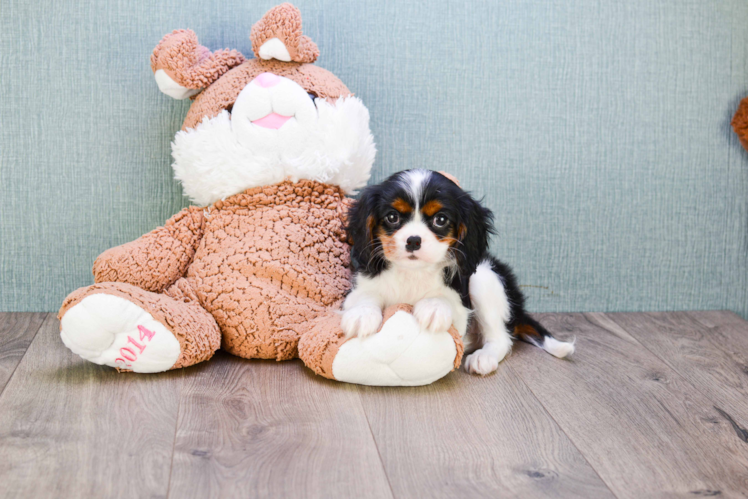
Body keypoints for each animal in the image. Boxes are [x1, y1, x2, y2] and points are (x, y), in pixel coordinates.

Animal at [342, 170, 576, 374]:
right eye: (392, 217)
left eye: (441, 220)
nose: (413, 240)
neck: (413, 272)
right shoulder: (361, 287)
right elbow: (365, 297)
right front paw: (362, 315)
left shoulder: (462, 306)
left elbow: (447, 302)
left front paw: (434, 307)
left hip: (484, 277)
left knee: (501, 338)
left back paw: (484, 358)